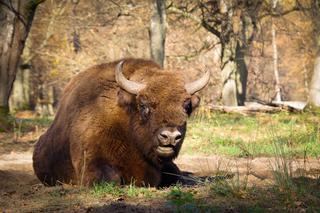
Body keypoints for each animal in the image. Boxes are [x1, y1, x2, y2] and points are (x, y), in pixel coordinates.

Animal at [33, 58, 210, 186]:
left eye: (186, 106)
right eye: (143, 105)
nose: (171, 136)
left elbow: (177, 175)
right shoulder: (91, 162)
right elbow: (112, 179)